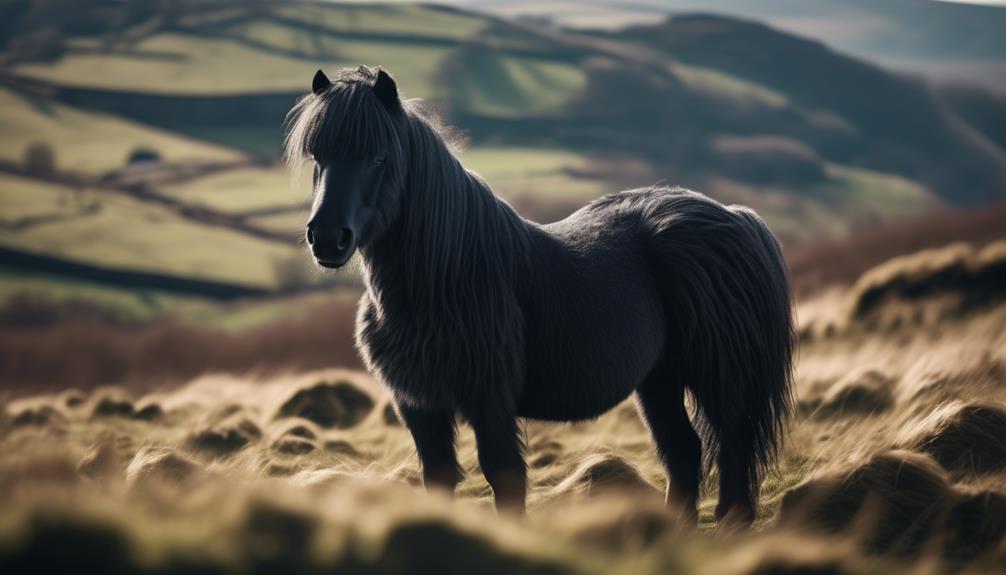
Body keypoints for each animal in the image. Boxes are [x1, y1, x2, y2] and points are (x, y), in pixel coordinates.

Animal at [283, 65, 792, 522]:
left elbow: (504, 476)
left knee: (732, 450)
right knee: (683, 452)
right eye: (318, 156)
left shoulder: (489, 400)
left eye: (377, 157)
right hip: (659, 380)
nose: (327, 239)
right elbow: (439, 477)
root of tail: (736, 215)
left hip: (721, 378)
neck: (445, 276)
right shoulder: (420, 404)